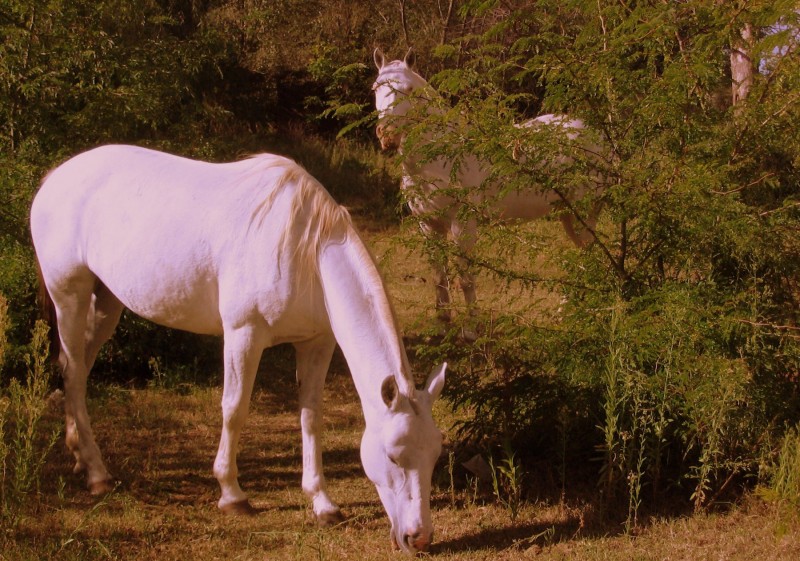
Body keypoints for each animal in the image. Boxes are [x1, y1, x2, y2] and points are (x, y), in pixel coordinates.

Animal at [28, 143, 446, 552]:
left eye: (435, 455)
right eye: (393, 456)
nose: (418, 538)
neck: (305, 251)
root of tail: (54, 178)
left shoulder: (317, 343)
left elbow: (311, 416)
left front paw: (322, 503)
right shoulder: (244, 334)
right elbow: (234, 409)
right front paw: (232, 495)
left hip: (106, 302)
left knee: (78, 370)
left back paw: (81, 457)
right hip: (70, 296)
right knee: (73, 372)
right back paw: (97, 473)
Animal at [372, 50, 604, 322]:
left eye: (409, 89)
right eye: (376, 87)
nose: (387, 134)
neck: (442, 158)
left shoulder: (462, 225)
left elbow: (465, 280)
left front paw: (473, 326)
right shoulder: (428, 225)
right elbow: (439, 278)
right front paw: (444, 323)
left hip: (582, 211)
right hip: (569, 213)